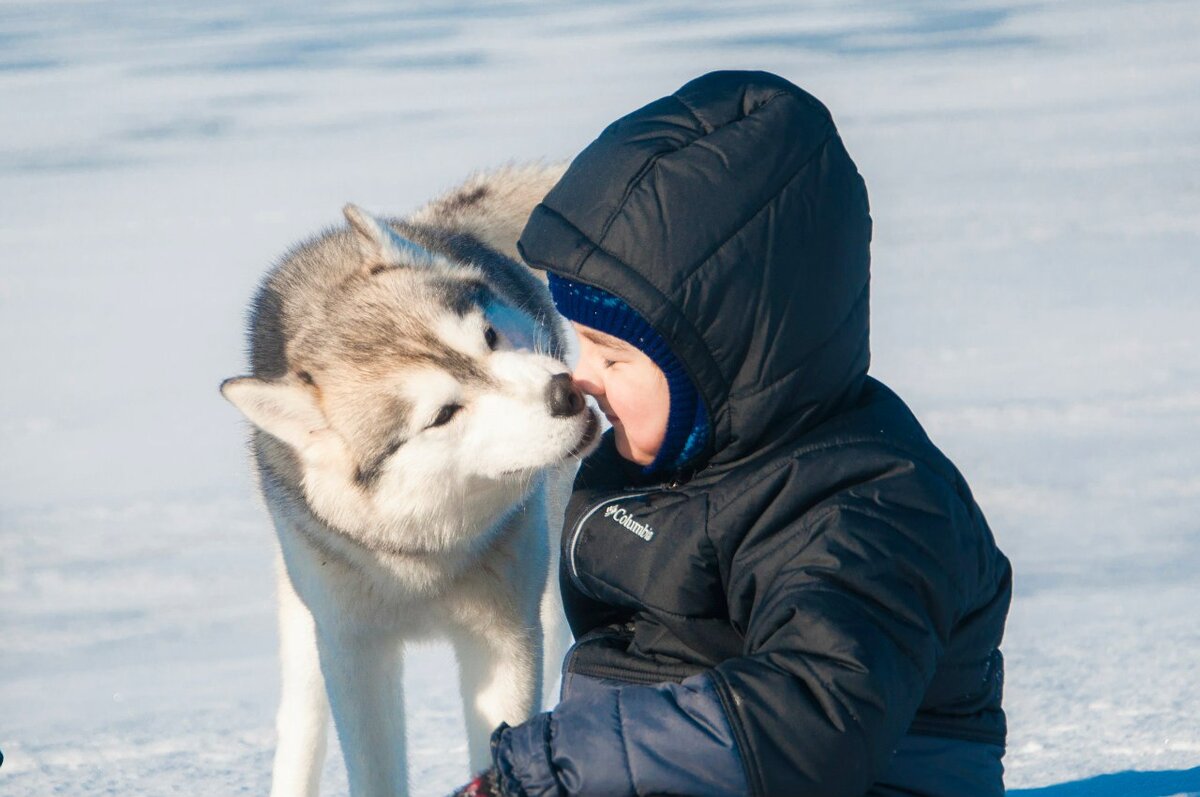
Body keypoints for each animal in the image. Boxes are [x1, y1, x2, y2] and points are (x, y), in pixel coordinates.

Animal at [220, 163, 595, 797]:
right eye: (442, 414)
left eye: (489, 337)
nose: (565, 393)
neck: (426, 558)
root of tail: (431, 224)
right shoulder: (355, 651)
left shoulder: (503, 637)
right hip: (306, 626)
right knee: (301, 724)